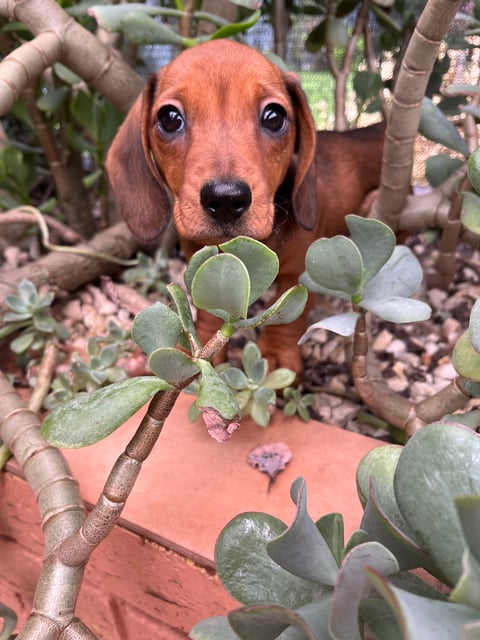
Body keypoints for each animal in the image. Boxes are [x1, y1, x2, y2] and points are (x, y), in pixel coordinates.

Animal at [107, 38, 384, 376]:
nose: (226, 199)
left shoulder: (302, 271)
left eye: (274, 116)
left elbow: (292, 312)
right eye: (169, 118)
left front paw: (277, 352)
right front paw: (205, 343)